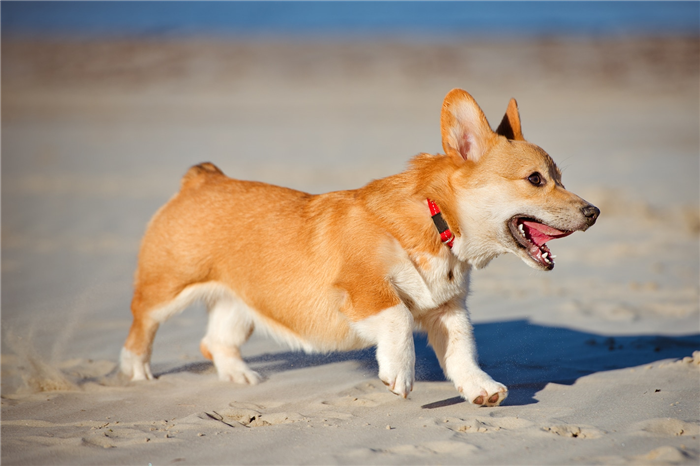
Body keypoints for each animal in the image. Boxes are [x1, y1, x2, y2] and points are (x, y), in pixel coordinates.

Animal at [119, 89, 596, 406]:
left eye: (559, 177)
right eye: (535, 179)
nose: (593, 212)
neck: (435, 217)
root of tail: (202, 178)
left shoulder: (448, 311)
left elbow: (463, 351)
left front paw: (481, 389)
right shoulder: (364, 289)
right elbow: (399, 319)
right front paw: (399, 375)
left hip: (241, 304)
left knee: (215, 341)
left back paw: (240, 375)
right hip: (167, 287)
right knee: (142, 324)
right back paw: (137, 372)